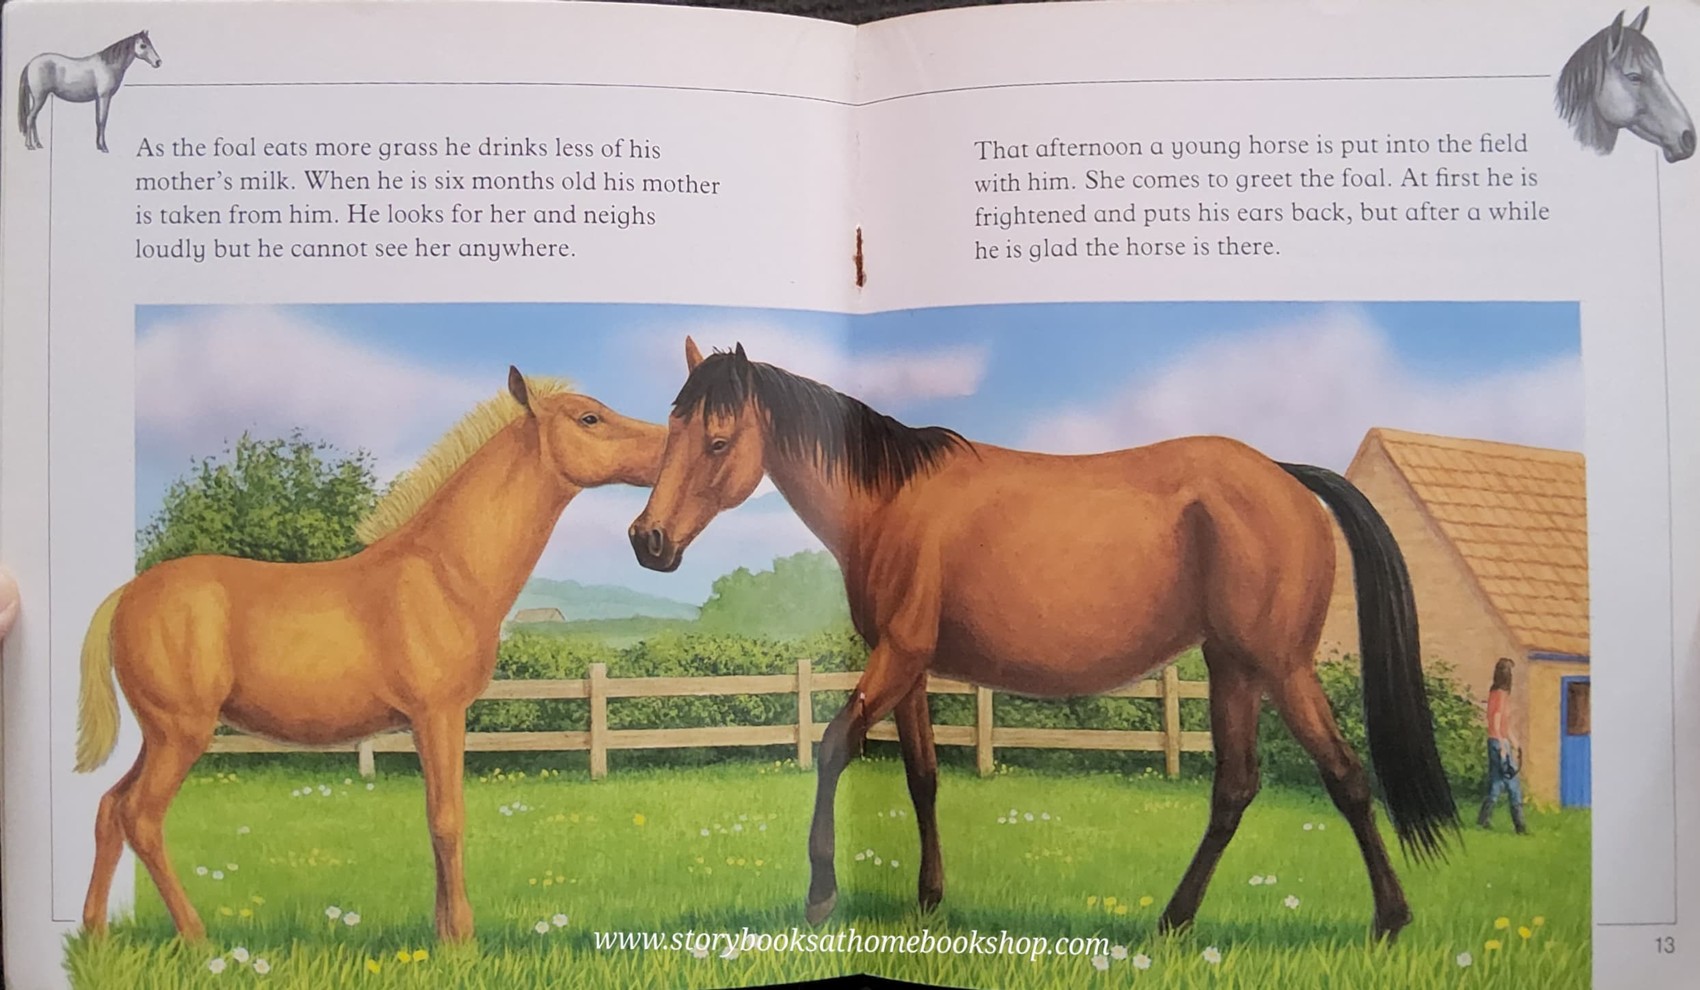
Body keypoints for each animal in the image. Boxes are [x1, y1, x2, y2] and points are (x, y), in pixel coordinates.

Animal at [18, 30, 161, 152]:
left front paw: (98, 146)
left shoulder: (98, 99)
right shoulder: (104, 97)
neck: (108, 65)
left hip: (38, 98)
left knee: (34, 118)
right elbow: (103, 121)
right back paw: (30, 145)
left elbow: (98, 121)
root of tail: (30, 63)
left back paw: (38, 144)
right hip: (40, 97)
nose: (158, 62)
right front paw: (104, 147)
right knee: (30, 118)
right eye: (143, 45)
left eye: (150, 44)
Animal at [74, 368, 666, 945]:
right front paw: (460, 939)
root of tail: (127, 594)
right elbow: (446, 819)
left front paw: (441, 932)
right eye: (589, 418)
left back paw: (96, 934)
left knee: (109, 808)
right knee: (140, 816)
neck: (443, 572)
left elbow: (435, 820)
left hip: (157, 736)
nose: (667, 449)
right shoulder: (438, 716)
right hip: (180, 734)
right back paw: (196, 939)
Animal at [627, 338, 1460, 942]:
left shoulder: (897, 656)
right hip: (1232, 667)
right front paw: (929, 899)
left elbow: (834, 747)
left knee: (1346, 777)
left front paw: (822, 896)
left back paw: (1390, 922)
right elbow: (923, 778)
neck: (891, 501)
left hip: (1281, 667)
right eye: (671, 432)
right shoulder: (912, 668)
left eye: (717, 441)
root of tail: (1285, 475)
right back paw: (1174, 922)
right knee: (1235, 788)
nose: (648, 540)